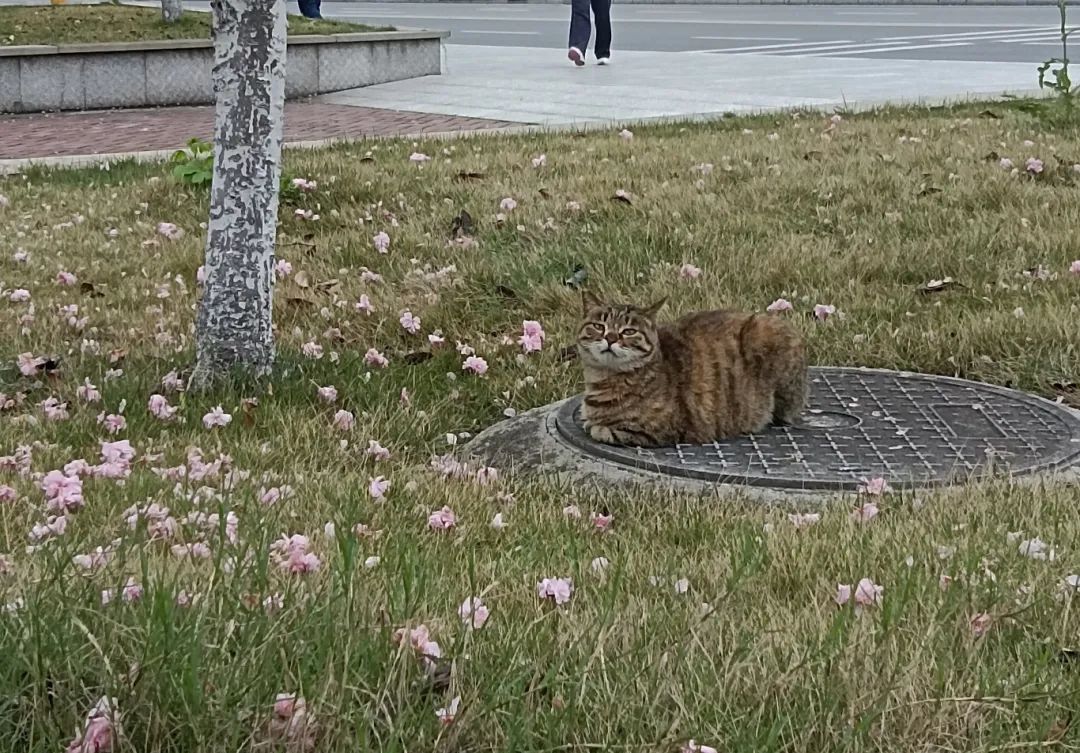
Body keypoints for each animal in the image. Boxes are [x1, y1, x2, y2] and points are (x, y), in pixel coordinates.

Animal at [576, 291, 807, 447]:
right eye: (598, 327)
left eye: (629, 331)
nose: (610, 338)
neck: (604, 379)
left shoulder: (658, 430)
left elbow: (602, 430)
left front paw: (596, 426)